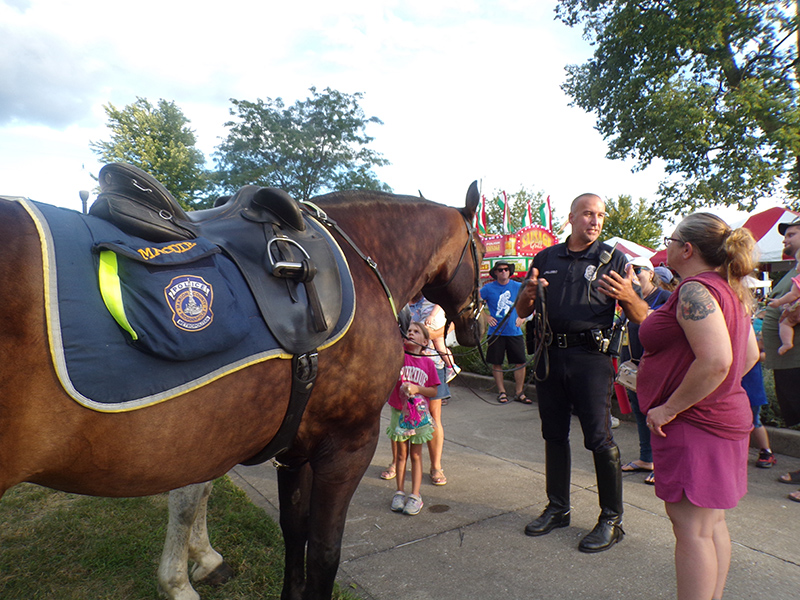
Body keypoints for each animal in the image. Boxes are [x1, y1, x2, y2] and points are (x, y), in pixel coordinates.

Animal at [0, 183, 484, 600]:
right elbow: (322, 552)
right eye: (480, 249)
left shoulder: (290, 446)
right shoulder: (346, 445)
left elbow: (290, 531)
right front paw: (184, 577)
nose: (476, 326)